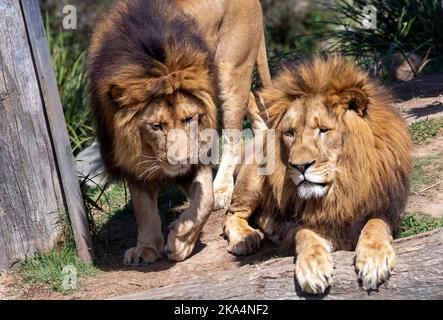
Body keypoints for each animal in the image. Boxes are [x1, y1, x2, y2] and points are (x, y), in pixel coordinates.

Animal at [89, 0, 270, 264]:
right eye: (156, 126)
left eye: (188, 119)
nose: (182, 160)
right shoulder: (130, 156)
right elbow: (143, 209)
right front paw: (146, 248)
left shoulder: (199, 151)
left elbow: (204, 200)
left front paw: (181, 240)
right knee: (256, 107)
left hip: (231, 72)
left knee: (233, 134)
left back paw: (223, 188)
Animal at [224, 56, 414, 294]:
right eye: (290, 133)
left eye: (323, 130)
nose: (299, 166)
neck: (341, 187)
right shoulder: (301, 222)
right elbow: (305, 235)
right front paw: (312, 267)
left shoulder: (385, 207)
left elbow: (375, 224)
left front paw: (374, 259)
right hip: (253, 177)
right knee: (232, 214)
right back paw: (246, 238)